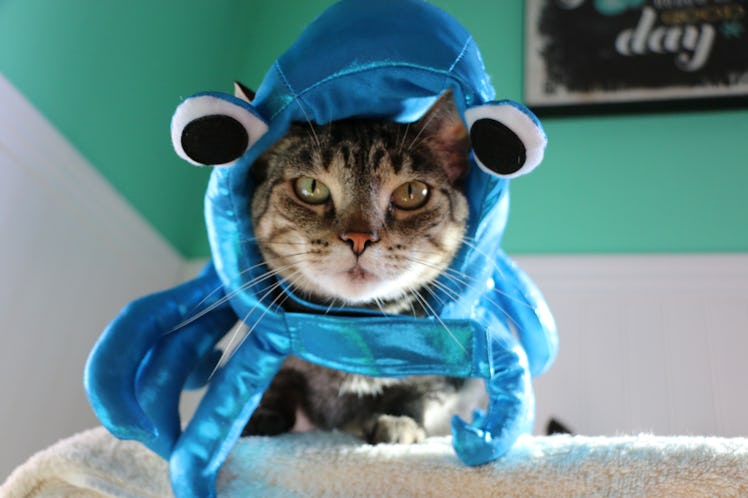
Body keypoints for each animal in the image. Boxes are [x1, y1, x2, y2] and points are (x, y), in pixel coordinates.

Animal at [240, 91, 486, 446]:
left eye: (411, 193)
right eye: (311, 188)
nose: (359, 238)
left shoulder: (450, 376)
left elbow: (419, 390)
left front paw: (397, 422)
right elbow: (279, 380)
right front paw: (259, 417)